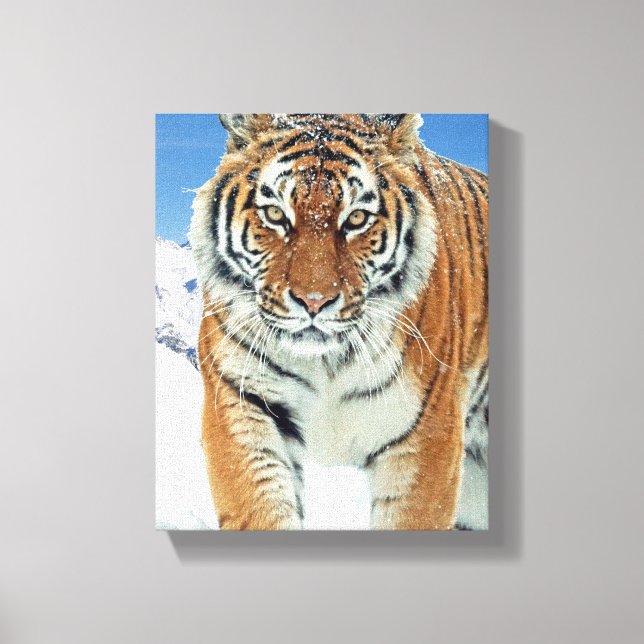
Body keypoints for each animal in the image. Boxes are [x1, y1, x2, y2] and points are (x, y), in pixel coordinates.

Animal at [188, 113, 488, 530]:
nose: (314, 302)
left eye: (357, 218)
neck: (326, 363)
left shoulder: (428, 433)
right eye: (276, 214)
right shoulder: (240, 400)